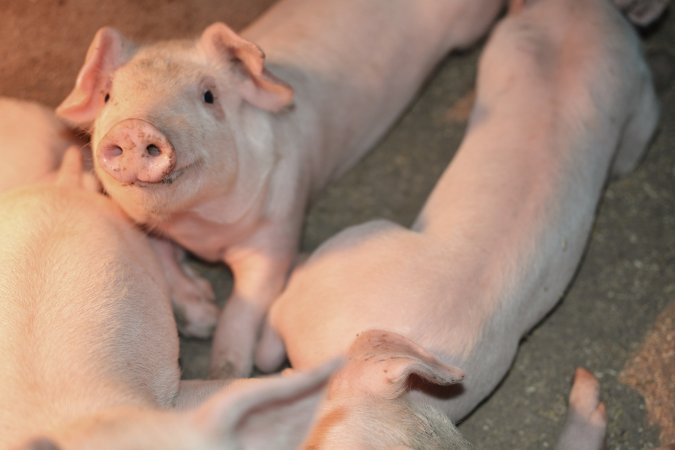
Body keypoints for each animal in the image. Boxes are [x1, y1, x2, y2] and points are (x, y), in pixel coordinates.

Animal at [56, 0, 508, 378]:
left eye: (209, 96)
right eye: (109, 96)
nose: (134, 128)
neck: (201, 230)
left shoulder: (279, 229)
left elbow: (245, 306)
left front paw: (224, 368)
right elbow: (161, 258)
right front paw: (202, 317)